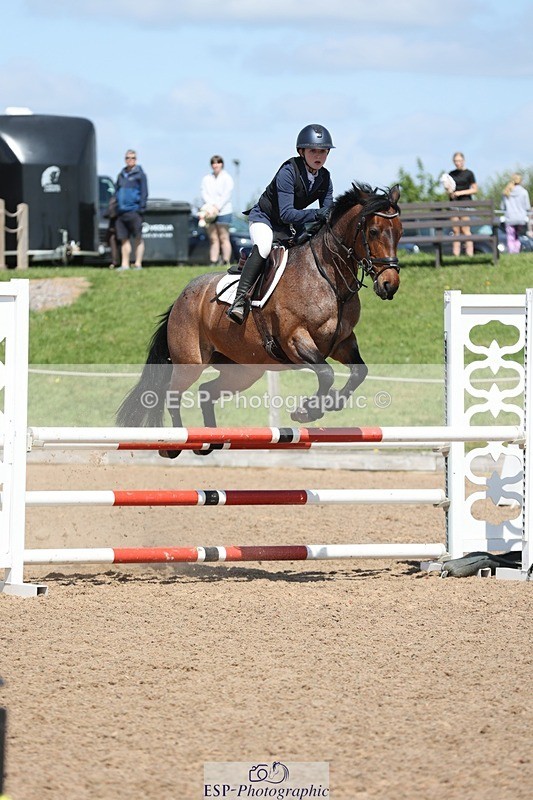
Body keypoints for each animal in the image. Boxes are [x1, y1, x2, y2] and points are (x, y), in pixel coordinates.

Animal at [116, 182, 402, 457]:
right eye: (373, 231)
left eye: (399, 232)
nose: (390, 285)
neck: (328, 279)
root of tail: (180, 298)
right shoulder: (295, 339)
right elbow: (326, 373)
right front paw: (307, 411)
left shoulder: (342, 342)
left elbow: (359, 372)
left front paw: (331, 403)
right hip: (190, 363)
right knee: (172, 395)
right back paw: (175, 444)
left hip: (243, 370)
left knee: (207, 391)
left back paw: (210, 440)